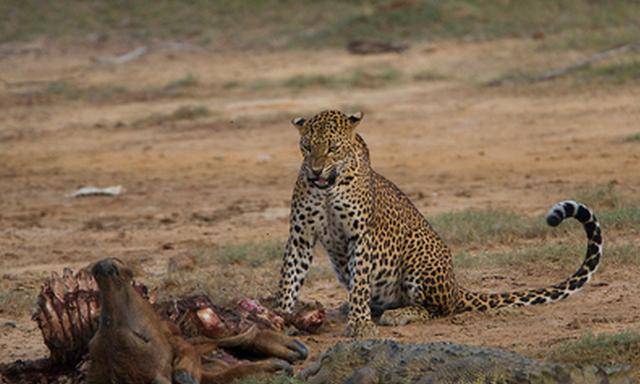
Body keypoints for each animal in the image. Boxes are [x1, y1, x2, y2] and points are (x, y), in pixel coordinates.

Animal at [276, 109, 600, 336]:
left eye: (332, 148)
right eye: (306, 147)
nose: (315, 171)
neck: (327, 188)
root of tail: (457, 285)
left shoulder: (361, 236)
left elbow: (360, 284)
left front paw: (360, 324)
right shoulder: (301, 236)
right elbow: (289, 278)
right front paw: (279, 318)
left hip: (420, 257)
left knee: (441, 309)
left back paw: (398, 313)